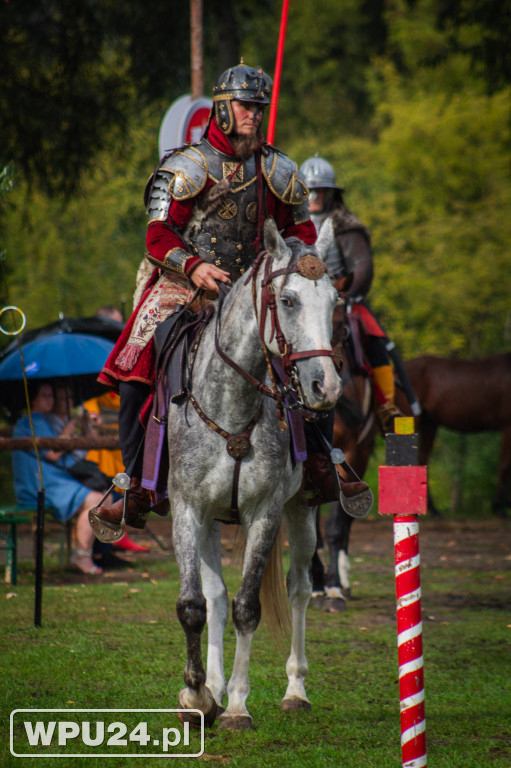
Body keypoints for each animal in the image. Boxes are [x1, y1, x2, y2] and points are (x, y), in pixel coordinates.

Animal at [168, 218, 342, 732]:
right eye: (288, 300)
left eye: (335, 302)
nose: (326, 387)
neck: (231, 410)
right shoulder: (188, 510)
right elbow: (194, 605)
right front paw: (198, 695)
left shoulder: (265, 513)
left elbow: (249, 607)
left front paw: (238, 706)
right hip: (209, 522)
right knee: (215, 598)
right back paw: (214, 686)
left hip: (301, 511)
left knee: (300, 587)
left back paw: (295, 690)